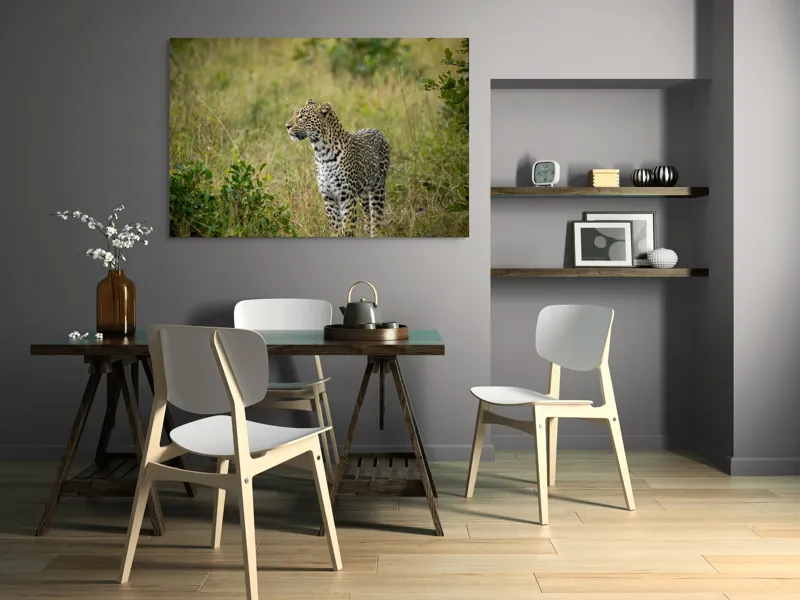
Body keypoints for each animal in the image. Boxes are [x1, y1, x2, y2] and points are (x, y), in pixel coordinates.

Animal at [286, 98, 390, 237]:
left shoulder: (347, 197)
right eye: (295, 114)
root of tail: (375, 130)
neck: (322, 153)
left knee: (376, 217)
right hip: (363, 193)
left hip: (378, 187)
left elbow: (348, 226)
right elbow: (335, 226)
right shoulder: (328, 197)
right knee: (367, 214)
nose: (287, 126)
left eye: (302, 117)